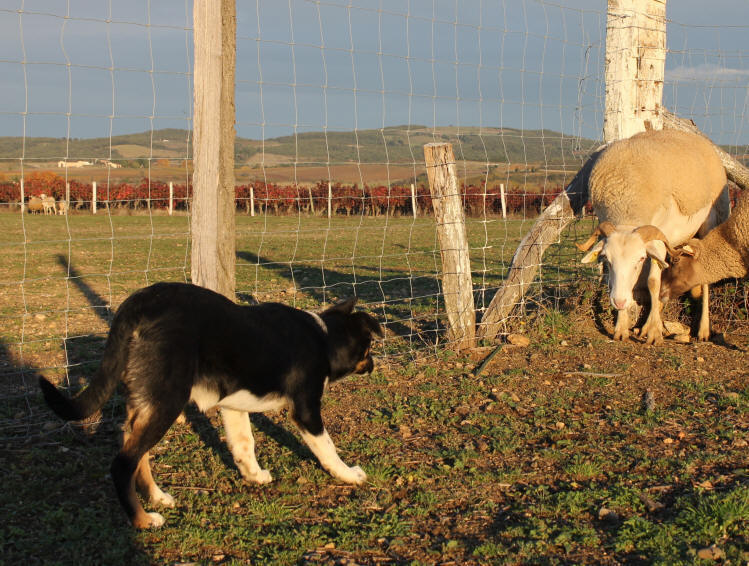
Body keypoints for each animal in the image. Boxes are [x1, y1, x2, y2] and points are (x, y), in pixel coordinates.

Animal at [38, 284, 382, 532]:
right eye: (369, 347)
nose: (374, 365)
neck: (323, 338)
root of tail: (140, 303)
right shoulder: (307, 409)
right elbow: (327, 447)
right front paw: (349, 475)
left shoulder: (233, 404)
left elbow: (244, 444)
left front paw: (253, 475)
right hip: (168, 401)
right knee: (123, 463)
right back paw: (143, 520)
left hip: (147, 403)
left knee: (136, 453)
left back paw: (158, 497)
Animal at [576, 127, 728, 346]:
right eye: (607, 260)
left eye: (639, 259)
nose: (619, 302)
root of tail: (698, 137)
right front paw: (621, 328)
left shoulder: (659, 239)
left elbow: (653, 282)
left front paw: (655, 334)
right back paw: (648, 324)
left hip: (711, 220)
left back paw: (703, 330)